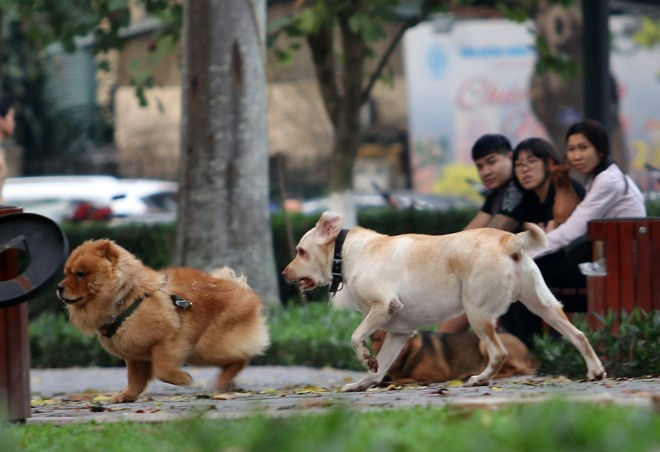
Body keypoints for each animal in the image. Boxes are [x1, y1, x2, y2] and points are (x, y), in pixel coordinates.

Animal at [56, 240, 270, 402]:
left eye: (80, 274)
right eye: (66, 273)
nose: (59, 287)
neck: (126, 299)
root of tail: (240, 287)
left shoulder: (167, 341)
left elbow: (162, 370)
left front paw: (183, 379)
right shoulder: (134, 355)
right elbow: (134, 379)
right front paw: (126, 396)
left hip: (205, 347)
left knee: (241, 357)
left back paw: (223, 381)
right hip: (200, 351)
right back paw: (228, 384)